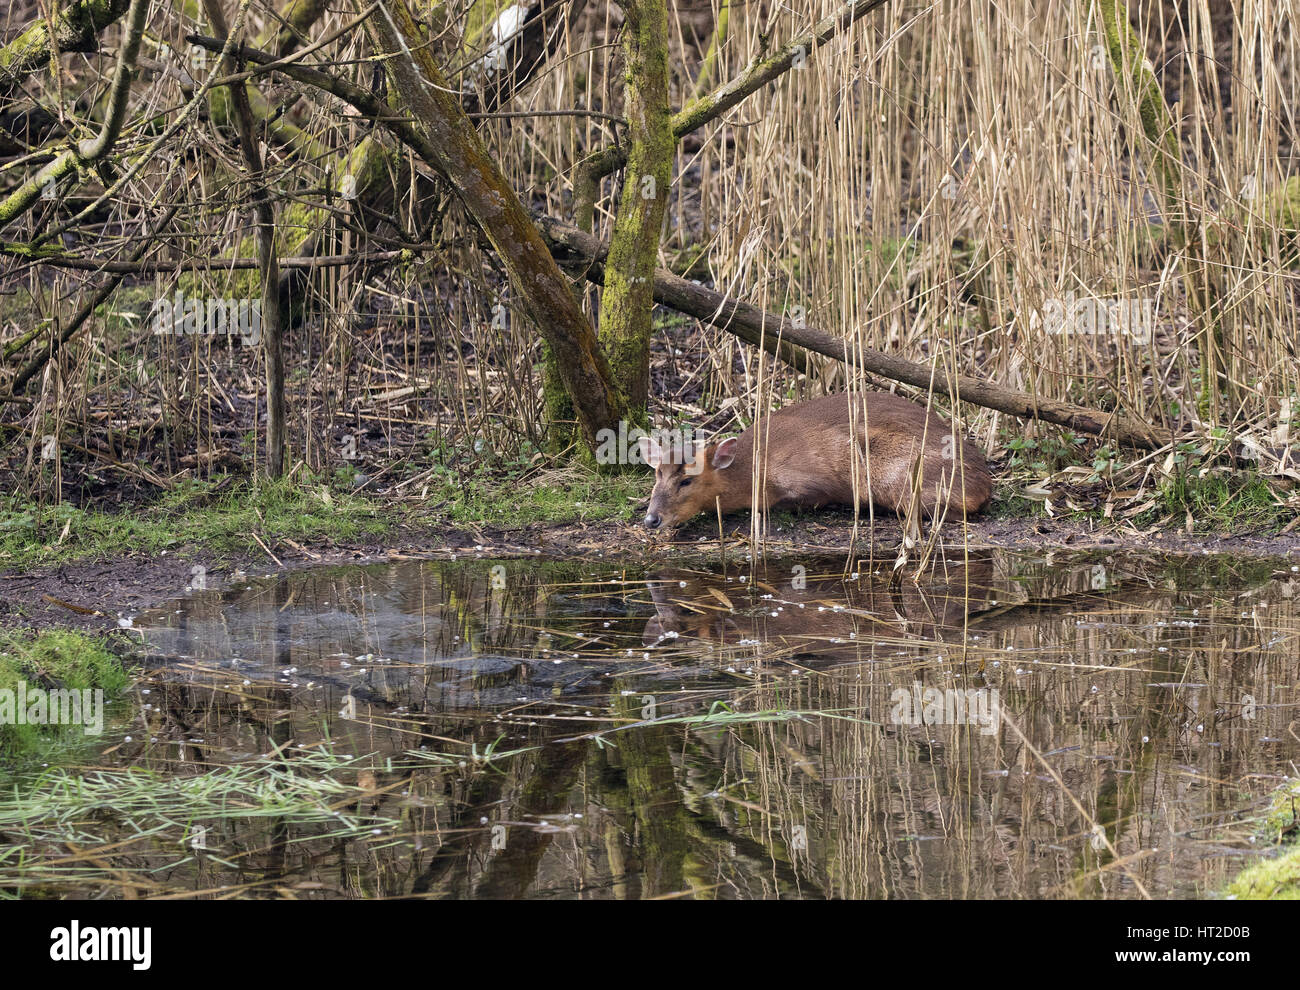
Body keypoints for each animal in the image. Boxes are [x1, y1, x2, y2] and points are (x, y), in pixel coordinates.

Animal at [642, 392, 993, 532]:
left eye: (687, 479)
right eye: (656, 474)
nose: (651, 519)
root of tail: (985, 485)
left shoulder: (812, 480)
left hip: (897, 472)